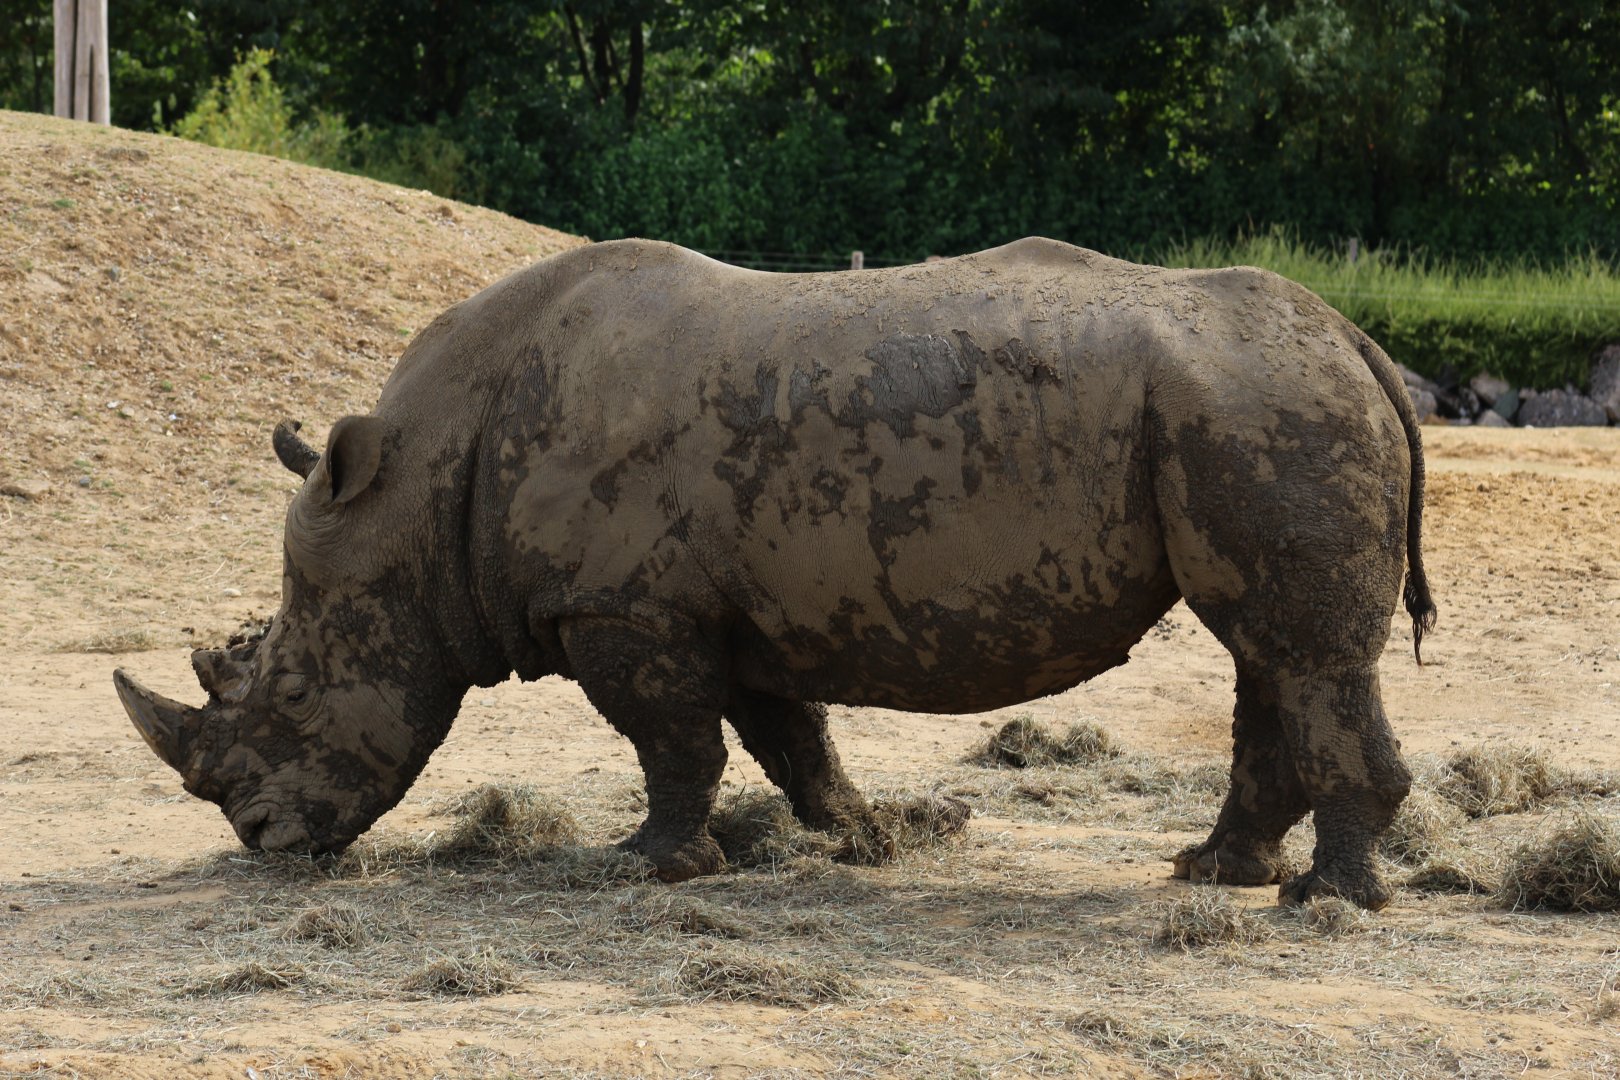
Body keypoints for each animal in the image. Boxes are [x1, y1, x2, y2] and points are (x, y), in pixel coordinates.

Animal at [115, 237, 1436, 910]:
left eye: (289, 691)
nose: (261, 838)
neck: (417, 486)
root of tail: (1355, 338)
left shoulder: (626, 607)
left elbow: (673, 742)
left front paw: (644, 869)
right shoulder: (728, 607)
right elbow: (788, 738)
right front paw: (868, 840)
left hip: (1260, 403)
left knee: (1297, 650)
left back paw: (1326, 904)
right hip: (1246, 403)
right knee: (1265, 651)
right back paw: (1217, 875)